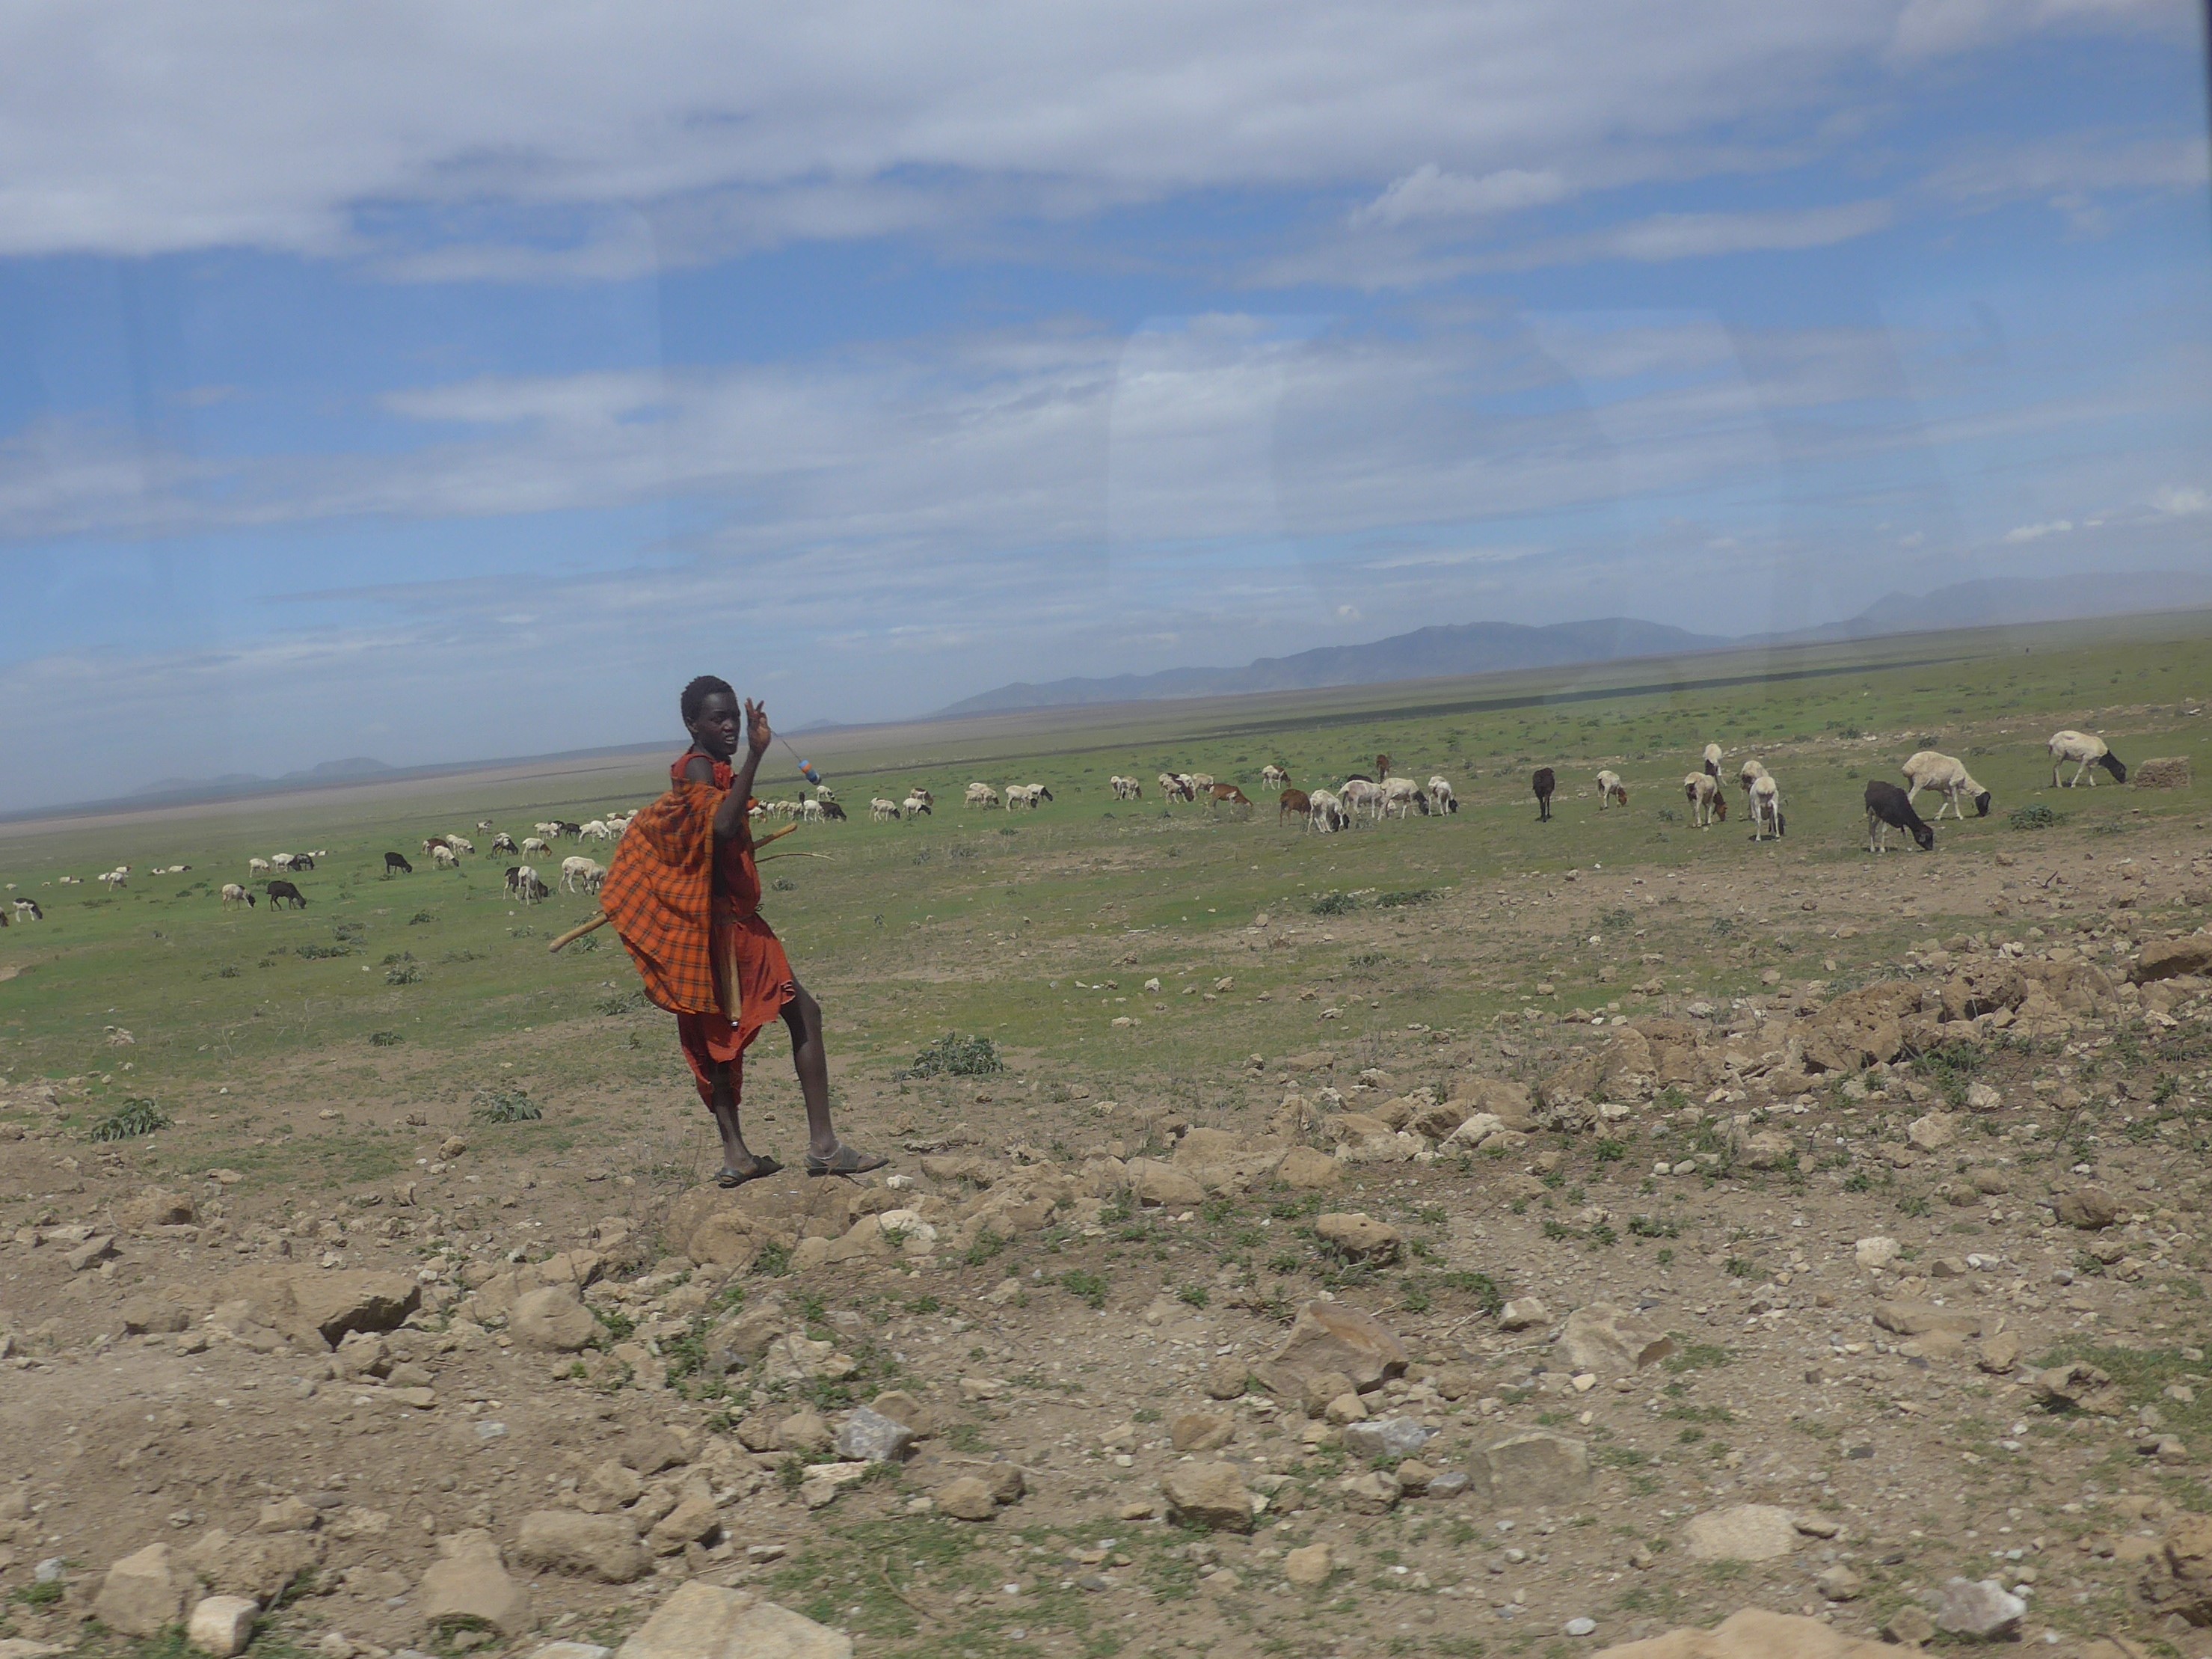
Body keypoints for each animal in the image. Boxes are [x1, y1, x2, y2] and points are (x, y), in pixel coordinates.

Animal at [1893, 752, 2000, 827]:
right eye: (1986, 801)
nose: (1984, 814)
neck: (1965, 781)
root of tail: (1909, 765)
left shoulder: (1942, 788)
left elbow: (1945, 802)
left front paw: (1938, 817)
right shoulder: (1953, 783)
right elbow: (1955, 801)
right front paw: (1960, 816)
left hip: (1911, 783)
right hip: (1919, 782)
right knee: (1910, 798)